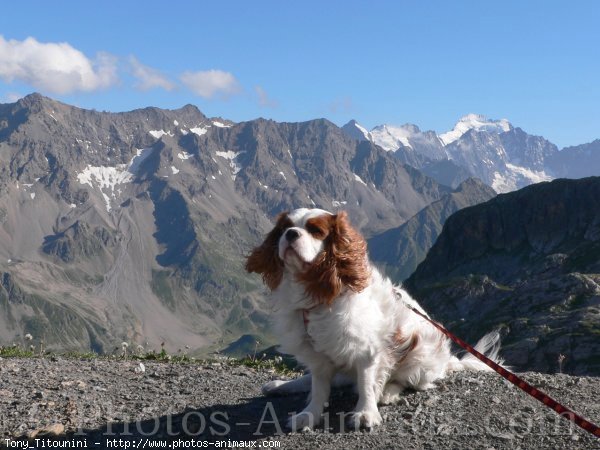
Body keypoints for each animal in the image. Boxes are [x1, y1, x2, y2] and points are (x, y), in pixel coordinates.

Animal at [244, 209, 502, 430]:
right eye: (283, 228)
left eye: (316, 231)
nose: (291, 234)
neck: (315, 295)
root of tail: (448, 361)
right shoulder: (317, 356)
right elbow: (318, 388)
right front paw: (309, 415)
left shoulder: (366, 350)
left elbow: (367, 384)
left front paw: (366, 413)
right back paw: (280, 385)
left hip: (418, 359)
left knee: (406, 381)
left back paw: (387, 392)